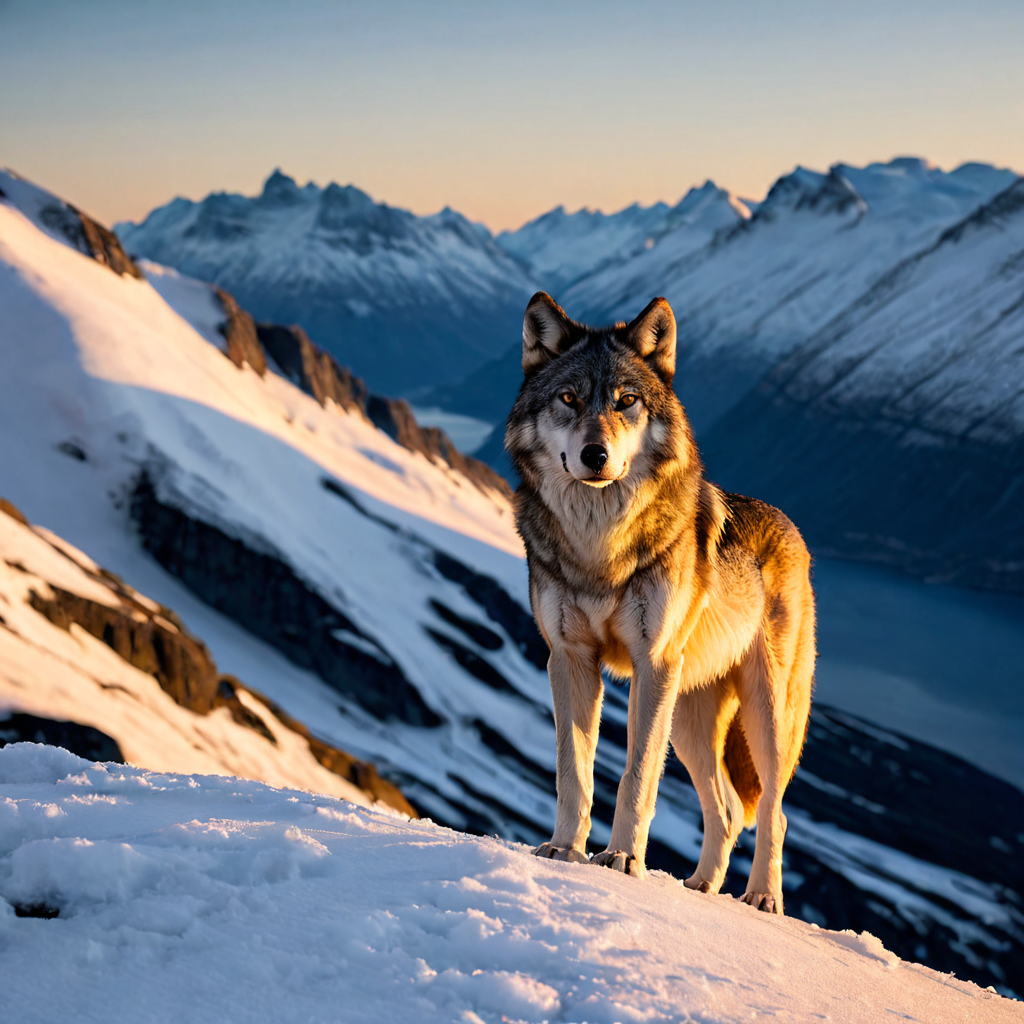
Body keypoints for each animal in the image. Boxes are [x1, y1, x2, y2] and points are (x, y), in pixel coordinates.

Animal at [505, 292, 815, 913]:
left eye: (626, 401)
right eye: (569, 399)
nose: (595, 454)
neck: (599, 547)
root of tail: (792, 528)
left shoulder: (651, 665)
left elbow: (636, 774)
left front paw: (623, 859)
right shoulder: (569, 659)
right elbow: (574, 772)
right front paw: (564, 850)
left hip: (763, 713)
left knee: (774, 811)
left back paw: (761, 897)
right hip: (690, 721)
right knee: (727, 809)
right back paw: (701, 887)